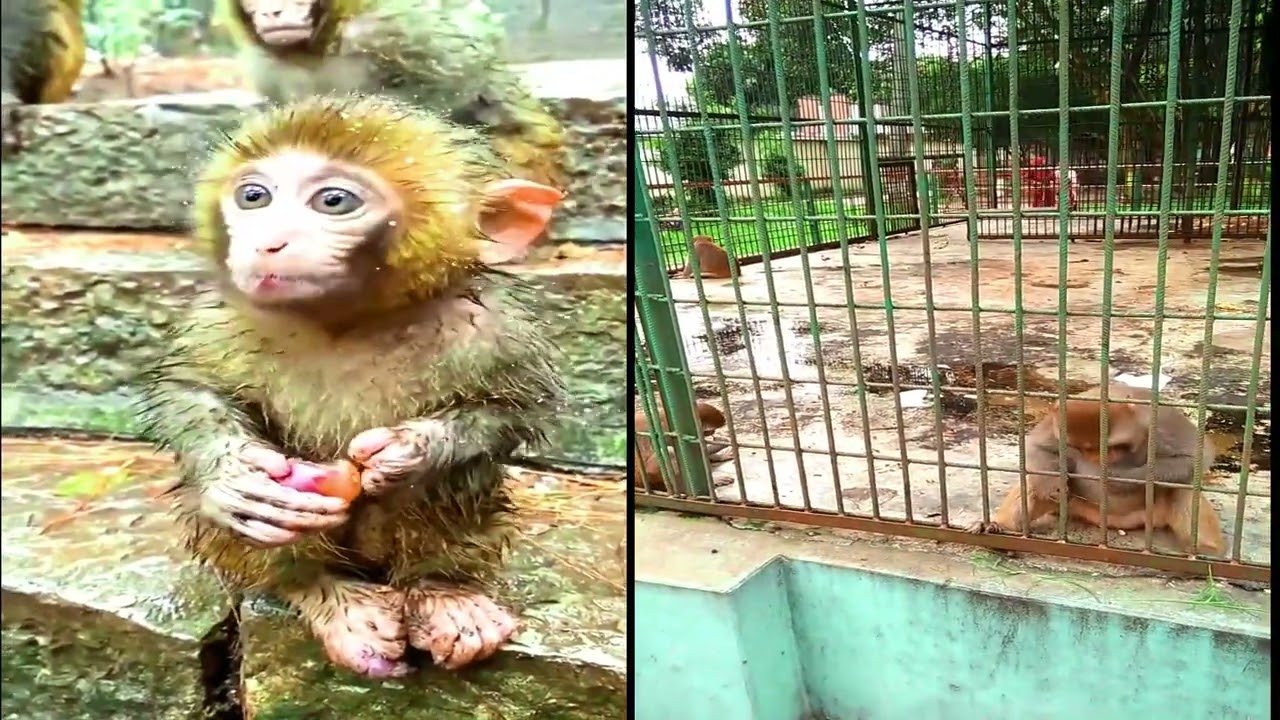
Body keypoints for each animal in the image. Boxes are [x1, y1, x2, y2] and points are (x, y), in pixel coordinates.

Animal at [135, 94, 567, 680]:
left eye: (333, 201)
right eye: (254, 196)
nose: (267, 242)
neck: (345, 322)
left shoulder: (489, 326)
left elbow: (514, 408)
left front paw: (412, 452)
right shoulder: (223, 316)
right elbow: (190, 388)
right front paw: (234, 475)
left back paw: (441, 589)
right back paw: (324, 591)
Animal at [968, 383, 1226, 556]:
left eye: (1114, 447)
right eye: (1079, 448)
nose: (1097, 459)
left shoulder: (1160, 418)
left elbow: (1195, 456)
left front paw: (1119, 479)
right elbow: (1037, 446)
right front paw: (1050, 484)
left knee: (1184, 487)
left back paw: (1205, 551)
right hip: (1074, 506)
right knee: (1035, 481)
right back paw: (1000, 527)